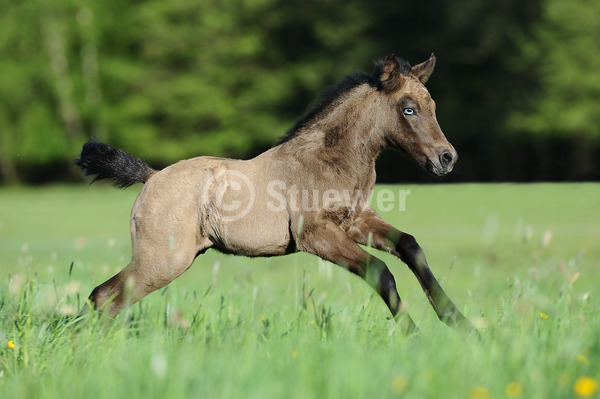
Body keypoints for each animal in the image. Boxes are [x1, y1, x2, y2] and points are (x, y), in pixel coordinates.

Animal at [76, 52, 478, 334]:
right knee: (105, 297)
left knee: (103, 297)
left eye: (432, 106)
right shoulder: (316, 235)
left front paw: (460, 323)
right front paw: (415, 335)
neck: (328, 159)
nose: (446, 158)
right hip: (162, 261)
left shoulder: (355, 221)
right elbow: (380, 272)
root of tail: (152, 176)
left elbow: (410, 247)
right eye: (408, 109)